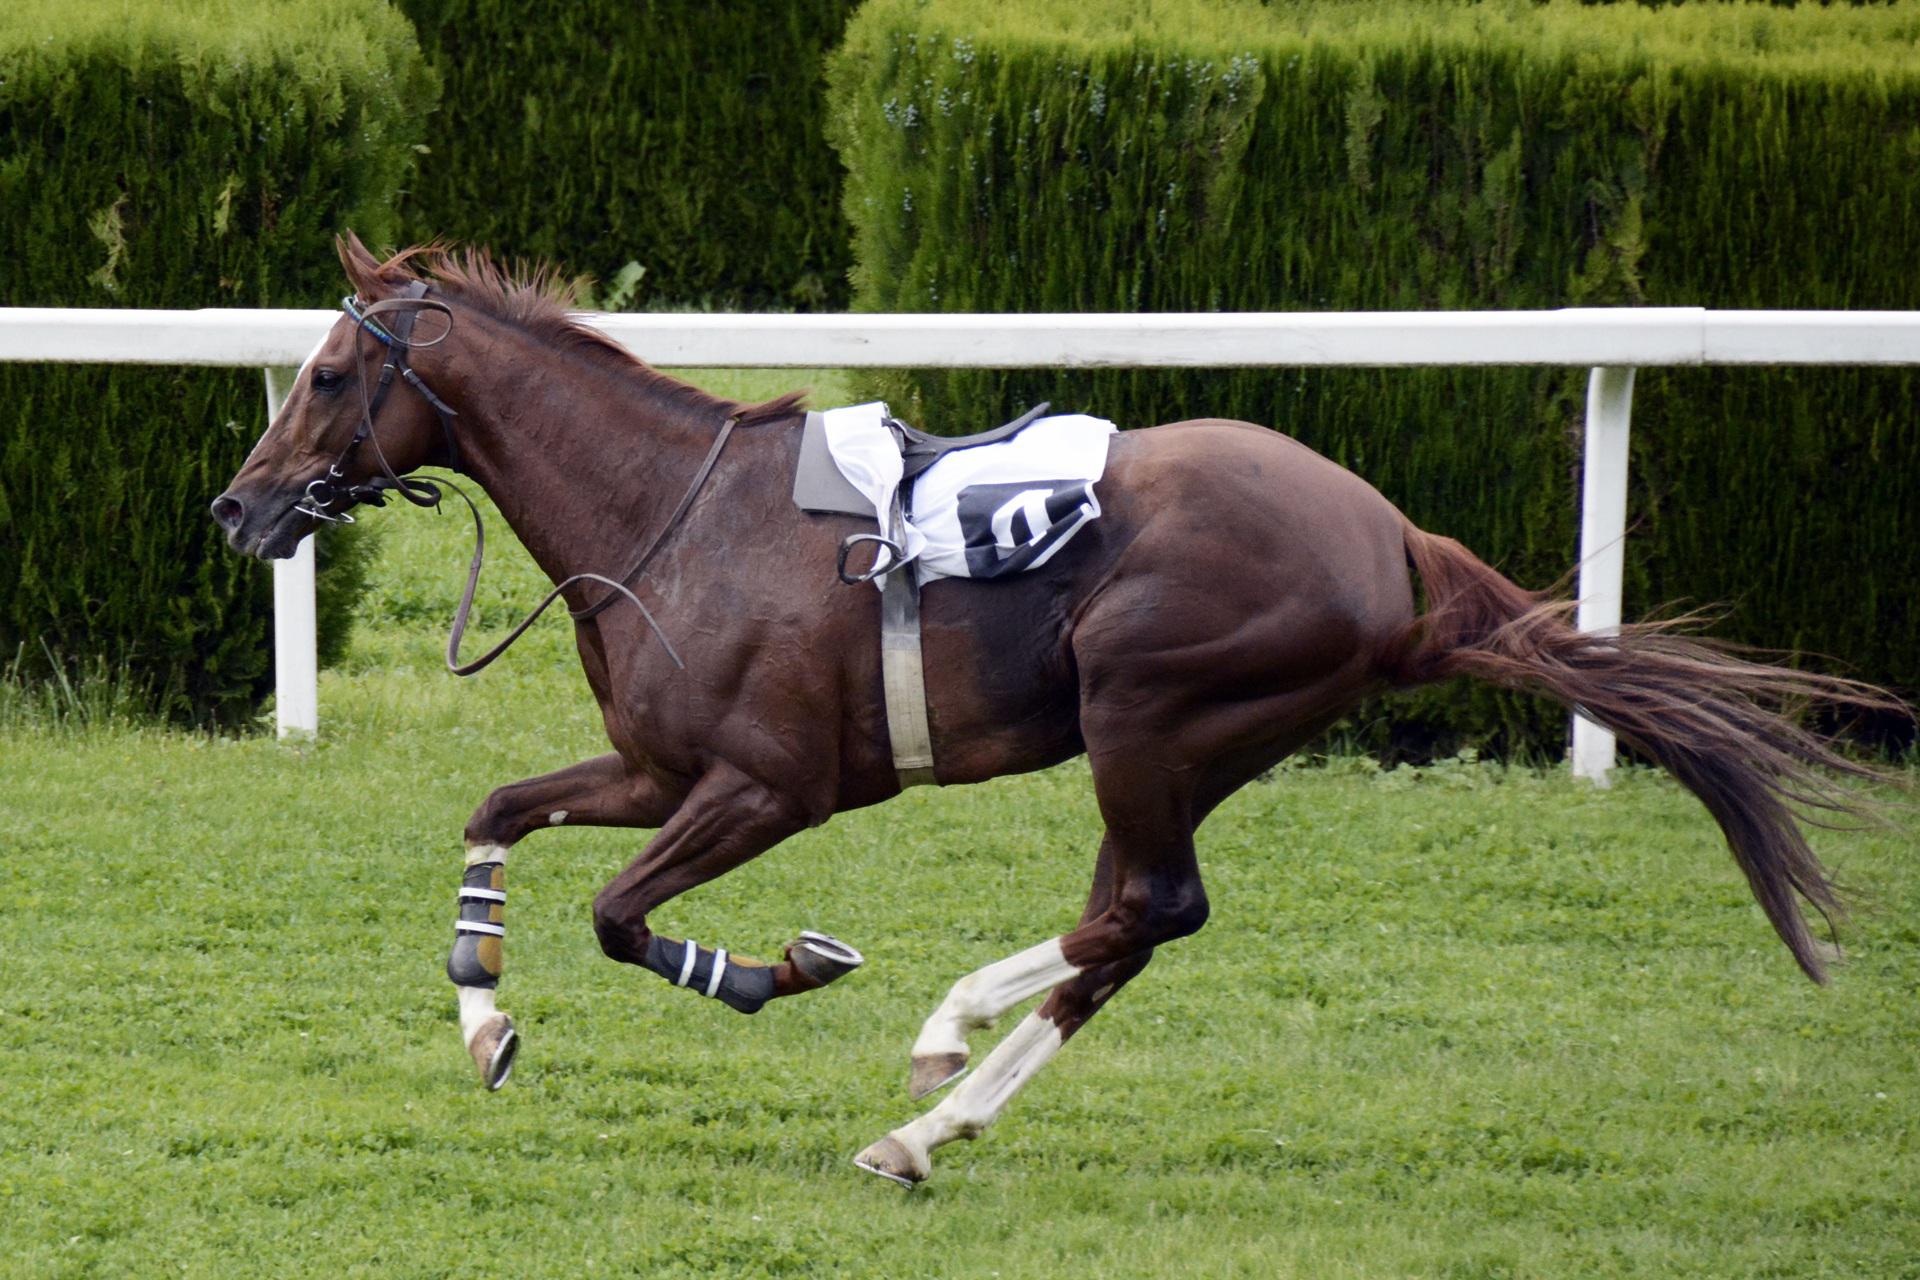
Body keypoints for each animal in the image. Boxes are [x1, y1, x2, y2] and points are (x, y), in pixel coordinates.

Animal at [217, 235, 1896, 1189]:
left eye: (325, 375)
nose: (238, 508)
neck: (670, 514)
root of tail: (1391, 538)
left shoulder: (768, 785)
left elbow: (625, 918)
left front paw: (778, 969)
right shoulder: (656, 764)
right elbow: (497, 817)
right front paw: (484, 1019)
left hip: (1150, 712)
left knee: (1145, 909)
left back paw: (940, 1043)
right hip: (1186, 742)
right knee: (1130, 928)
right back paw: (927, 1124)